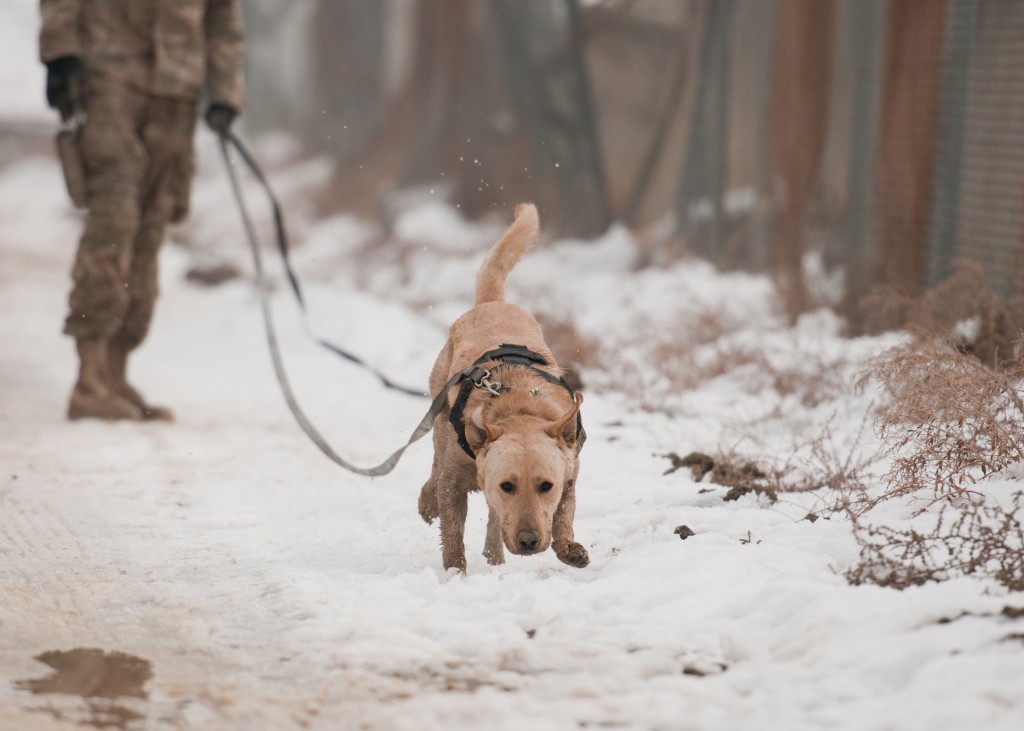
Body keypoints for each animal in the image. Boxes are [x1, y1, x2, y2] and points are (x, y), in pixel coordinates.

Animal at [419, 203, 589, 569]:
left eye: (546, 486)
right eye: (507, 485)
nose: (528, 540)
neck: (519, 407)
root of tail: (492, 303)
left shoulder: (569, 471)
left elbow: (563, 513)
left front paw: (568, 547)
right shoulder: (454, 482)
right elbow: (452, 530)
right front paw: (455, 573)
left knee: (494, 520)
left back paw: (494, 556)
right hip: (438, 411)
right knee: (435, 464)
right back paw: (428, 502)